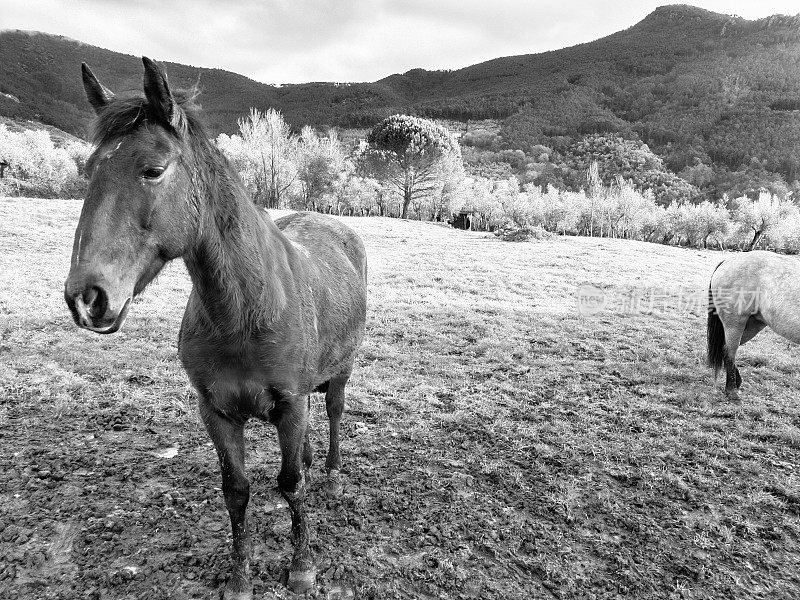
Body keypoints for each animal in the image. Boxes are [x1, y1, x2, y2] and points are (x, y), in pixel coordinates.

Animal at [63, 57, 368, 600]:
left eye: (154, 170)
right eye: (89, 170)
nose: (86, 297)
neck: (245, 312)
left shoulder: (292, 403)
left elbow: (291, 484)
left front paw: (302, 567)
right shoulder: (216, 410)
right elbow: (237, 490)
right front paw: (240, 577)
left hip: (340, 372)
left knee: (333, 414)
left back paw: (331, 475)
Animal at [708, 248, 800, 398]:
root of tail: (727, 261)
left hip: (752, 325)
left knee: (726, 349)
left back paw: (737, 382)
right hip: (735, 323)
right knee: (729, 352)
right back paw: (731, 391)